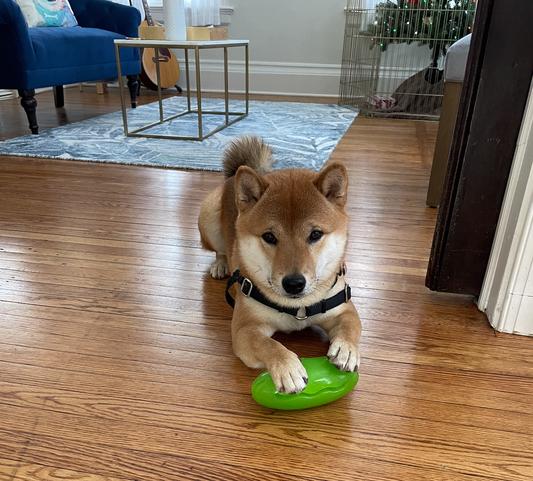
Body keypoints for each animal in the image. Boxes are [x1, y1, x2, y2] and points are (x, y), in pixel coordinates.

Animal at [198, 136, 361, 393]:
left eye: (315, 234)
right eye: (269, 237)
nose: (294, 283)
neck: (298, 309)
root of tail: (233, 177)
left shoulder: (343, 307)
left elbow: (350, 325)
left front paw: (346, 348)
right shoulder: (245, 328)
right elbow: (268, 344)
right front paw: (287, 367)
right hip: (208, 217)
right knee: (219, 250)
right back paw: (220, 265)